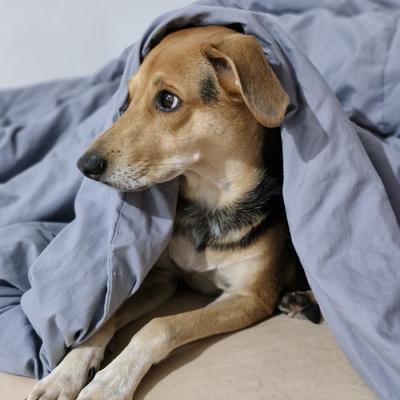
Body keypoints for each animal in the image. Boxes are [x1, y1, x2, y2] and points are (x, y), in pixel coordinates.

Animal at [27, 25, 319, 400]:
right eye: (126, 101)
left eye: (168, 100)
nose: (84, 165)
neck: (209, 205)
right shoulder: (163, 279)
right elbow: (105, 318)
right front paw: (65, 373)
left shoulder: (250, 296)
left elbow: (160, 325)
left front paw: (110, 382)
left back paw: (303, 300)